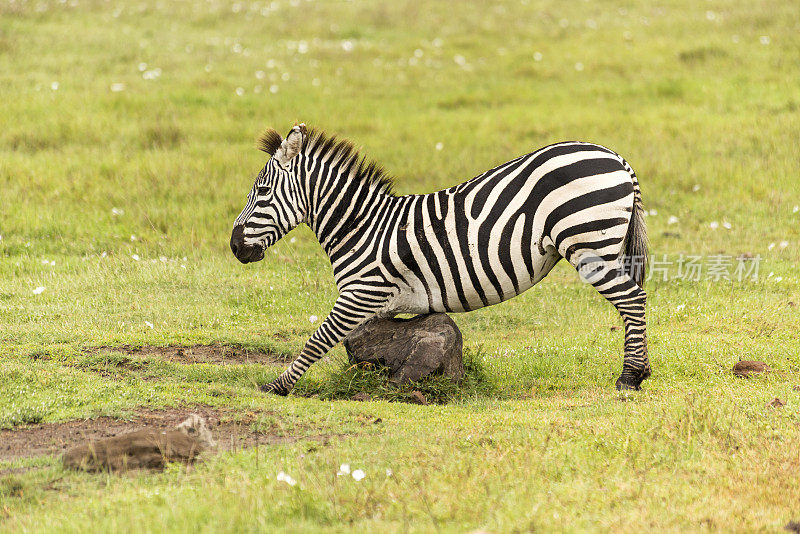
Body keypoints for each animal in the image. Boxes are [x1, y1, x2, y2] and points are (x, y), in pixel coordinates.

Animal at [230, 123, 648, 396]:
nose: (234, 247)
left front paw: (278, 386)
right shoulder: (377, 305)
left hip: (589, 246)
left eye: (262, 191)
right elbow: (366, 345)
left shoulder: (361, 293)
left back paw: (631, 377)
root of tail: (615, 156)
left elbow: (318, 340)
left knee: (633, 300)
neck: (363, 226)